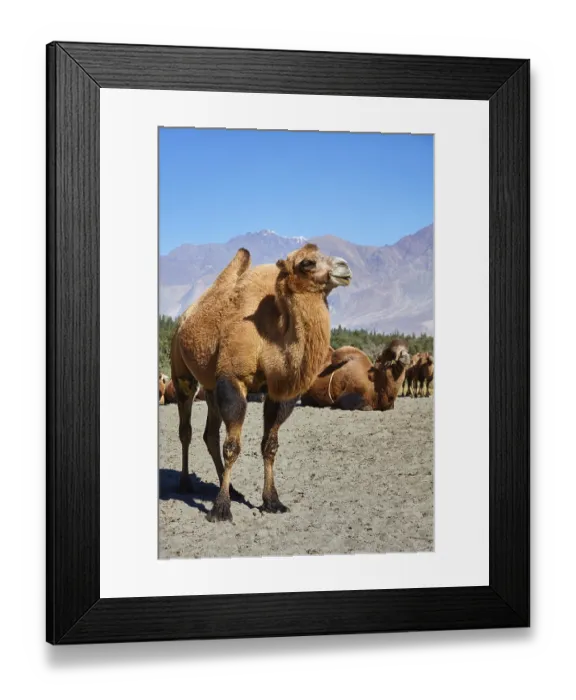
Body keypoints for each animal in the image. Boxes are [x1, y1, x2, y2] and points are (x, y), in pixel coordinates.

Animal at [170, 243, 351, 522]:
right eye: (307, 263)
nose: (345, 267)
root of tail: (184, 318)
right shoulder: (233, 379)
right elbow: (232, 447)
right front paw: (220, 509)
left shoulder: (279, 390)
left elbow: (270, 445)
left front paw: (272, 501)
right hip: (181, 373)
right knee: (186, 429)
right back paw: (185, 483)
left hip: (210, 386)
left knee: (210, 434)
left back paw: (232, 489)